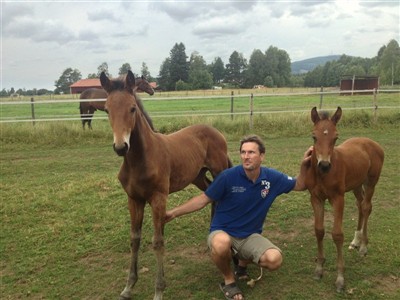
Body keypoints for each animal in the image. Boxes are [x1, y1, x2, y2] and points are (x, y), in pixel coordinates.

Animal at [99, 71, 233, 300]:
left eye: (132, 108)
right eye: (107, 109)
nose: (120, 147)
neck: (140, 160)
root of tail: (216, 132)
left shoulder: (159, 198)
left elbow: (158, 241)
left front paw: (159, 290)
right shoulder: (134, 199)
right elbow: (135, 239)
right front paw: (128, 287)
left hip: (219, 171)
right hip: (198, 177)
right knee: (211, 195)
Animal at [306, 106, 384, 292]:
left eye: (336, 137)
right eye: (314, 136)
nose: (324, 165)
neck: (323, 176)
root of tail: (372, 143)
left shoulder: (338, 199)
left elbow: (337, 234)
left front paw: (340, 278)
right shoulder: (316, 198)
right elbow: (319, 230)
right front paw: (319, 269)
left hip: (371, 182)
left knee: (366, 207)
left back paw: (363, 246)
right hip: (356, 185)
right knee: (360, 204)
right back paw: (355, 241)